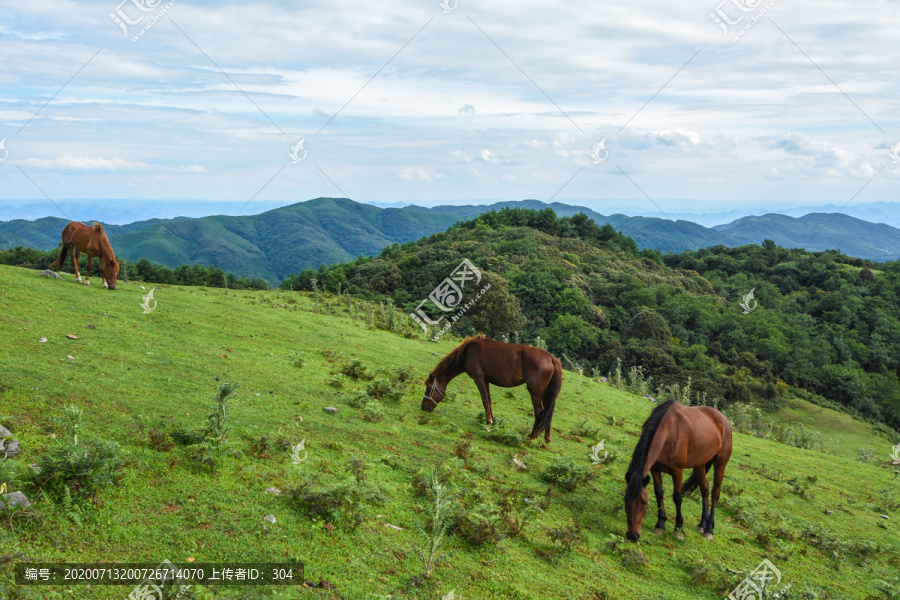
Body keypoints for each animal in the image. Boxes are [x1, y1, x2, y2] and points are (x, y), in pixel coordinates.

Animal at [422, 336, 564, 442]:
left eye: (429, 389)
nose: (424, 407)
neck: (468, 352)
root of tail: (551, 358)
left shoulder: (479, 378)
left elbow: (485, 400)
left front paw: (488, 424)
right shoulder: (486, 380)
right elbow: (489, 400)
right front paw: (494, 422)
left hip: (535, 392)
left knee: (540, 412)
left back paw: (532, 436)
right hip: (546, 393)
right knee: (549, 412)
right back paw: (547, 438)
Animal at [624, 398, 732, 544]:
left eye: (645, 502)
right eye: (625, 500)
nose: (632, 536)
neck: (668, 434)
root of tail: (723, 419)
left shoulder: (677, 471)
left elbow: (677, 497)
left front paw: (679, 529)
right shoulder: (655, 469)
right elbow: (659, 493)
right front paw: (660, 525)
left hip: (720, 463)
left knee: (715, 492)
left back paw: (709, 529)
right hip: (699, 464)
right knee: (704, 489)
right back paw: (702, 524)